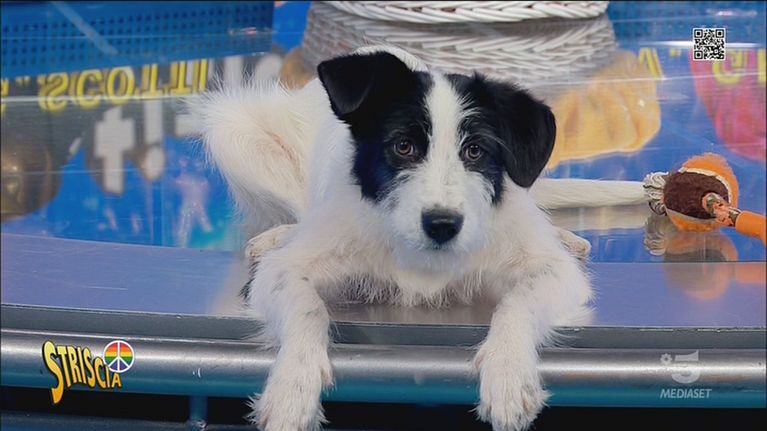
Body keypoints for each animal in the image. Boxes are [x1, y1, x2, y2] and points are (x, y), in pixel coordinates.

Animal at [191, 46, 593, 431]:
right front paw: (292, 387)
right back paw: (277, 235)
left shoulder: (556, 273)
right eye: (403, 146)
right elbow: (308, 307)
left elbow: (516, 302)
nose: (442, 224)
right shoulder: (279, 273)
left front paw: (509, 374)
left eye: (475, 151)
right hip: (233, 129)